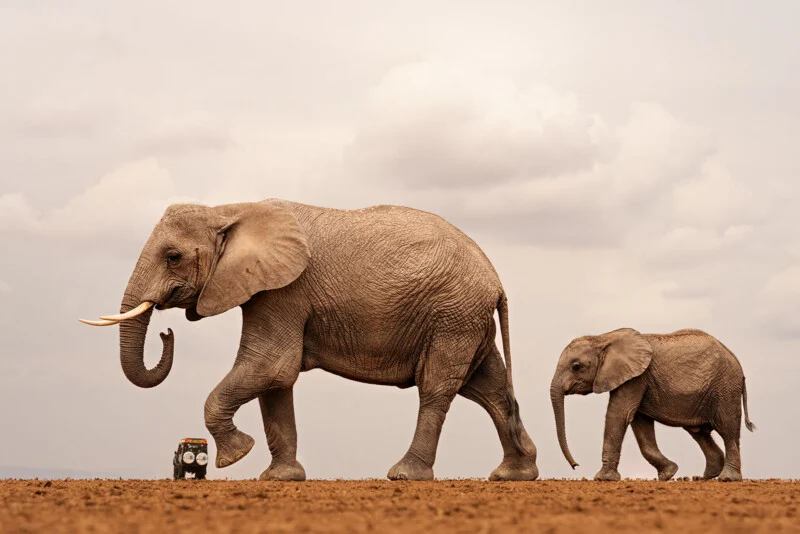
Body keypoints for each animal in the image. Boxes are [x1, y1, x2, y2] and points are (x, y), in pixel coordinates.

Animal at [80, 199, 539, 482]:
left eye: (172, 257)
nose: (166, 330)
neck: (229, 209)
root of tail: (496, 281)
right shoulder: (269, 290)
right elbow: (275, 381)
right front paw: (279, 478)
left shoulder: (285, 290)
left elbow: (271, 365)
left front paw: (236, 456)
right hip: (464, 319)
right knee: (489, 390)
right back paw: (513, 476)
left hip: (452, 316)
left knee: (438, 388)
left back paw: (405, 476)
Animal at [550, 328, 755, 482]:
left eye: (576, 367)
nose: (576, 466)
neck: (603, 338)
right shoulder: (637, 379)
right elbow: (639, 423)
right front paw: (668, 474)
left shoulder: (636, 378)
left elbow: (619, 414)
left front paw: (602, 479)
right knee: (699, 433)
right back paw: (703, 477)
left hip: (725, 389)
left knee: (728, 430)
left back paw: (727, 479)